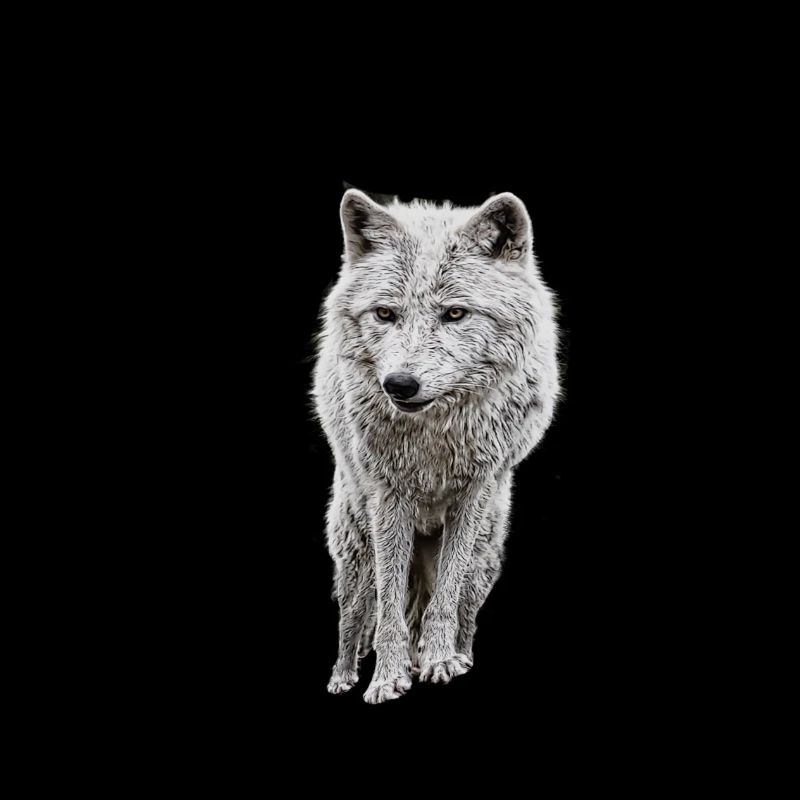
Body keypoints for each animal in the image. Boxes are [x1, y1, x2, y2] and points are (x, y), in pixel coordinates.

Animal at [312, 189, 560, 703]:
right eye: (385, 314)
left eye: (455, 313)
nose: (399, 384)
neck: (434, 434)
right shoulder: (389, 499)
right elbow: (387, 609)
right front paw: (387, 677)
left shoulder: (474, 493)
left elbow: (446, 594)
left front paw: (439, 660)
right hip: (355, 548)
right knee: (354, 614)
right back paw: (344, 676)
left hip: (487, 555)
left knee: (461, 606)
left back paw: (456, 655)